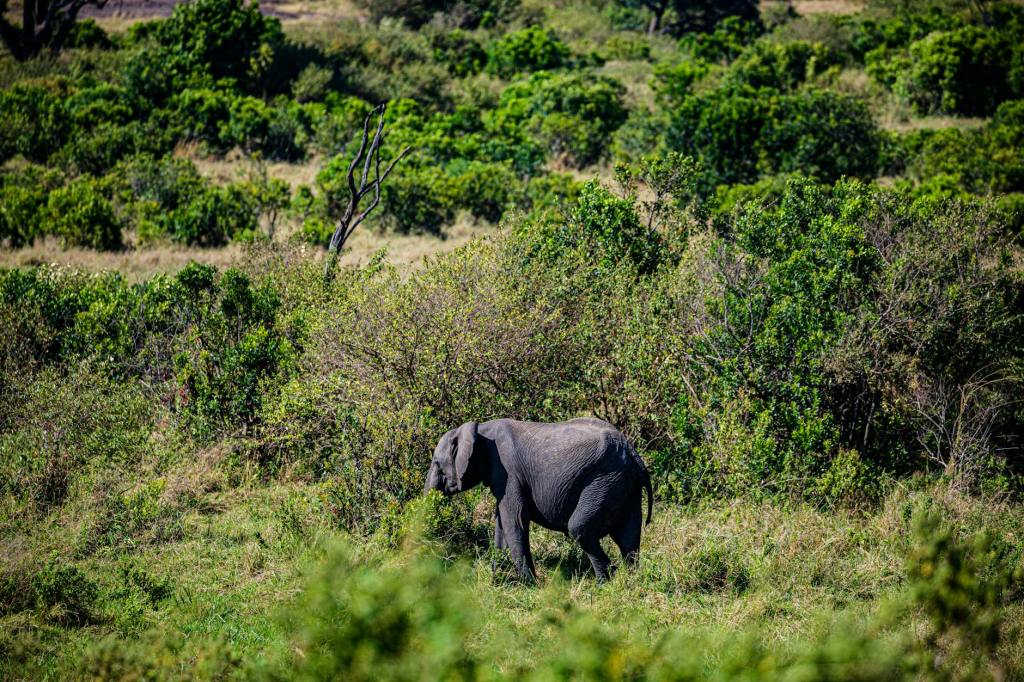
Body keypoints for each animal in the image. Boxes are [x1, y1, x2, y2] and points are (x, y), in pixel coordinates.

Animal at [423, 417, 653, 582]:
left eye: (436, 463)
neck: (481, 429)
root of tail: (634, 456)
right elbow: (501, 524)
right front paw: (498, 582)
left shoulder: (507, 473)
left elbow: (514, 521)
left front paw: (529, 585)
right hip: (623, 486)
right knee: (628, 538)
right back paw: (630, 582)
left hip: (604, 481)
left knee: (580, 528)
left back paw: (605, 583)